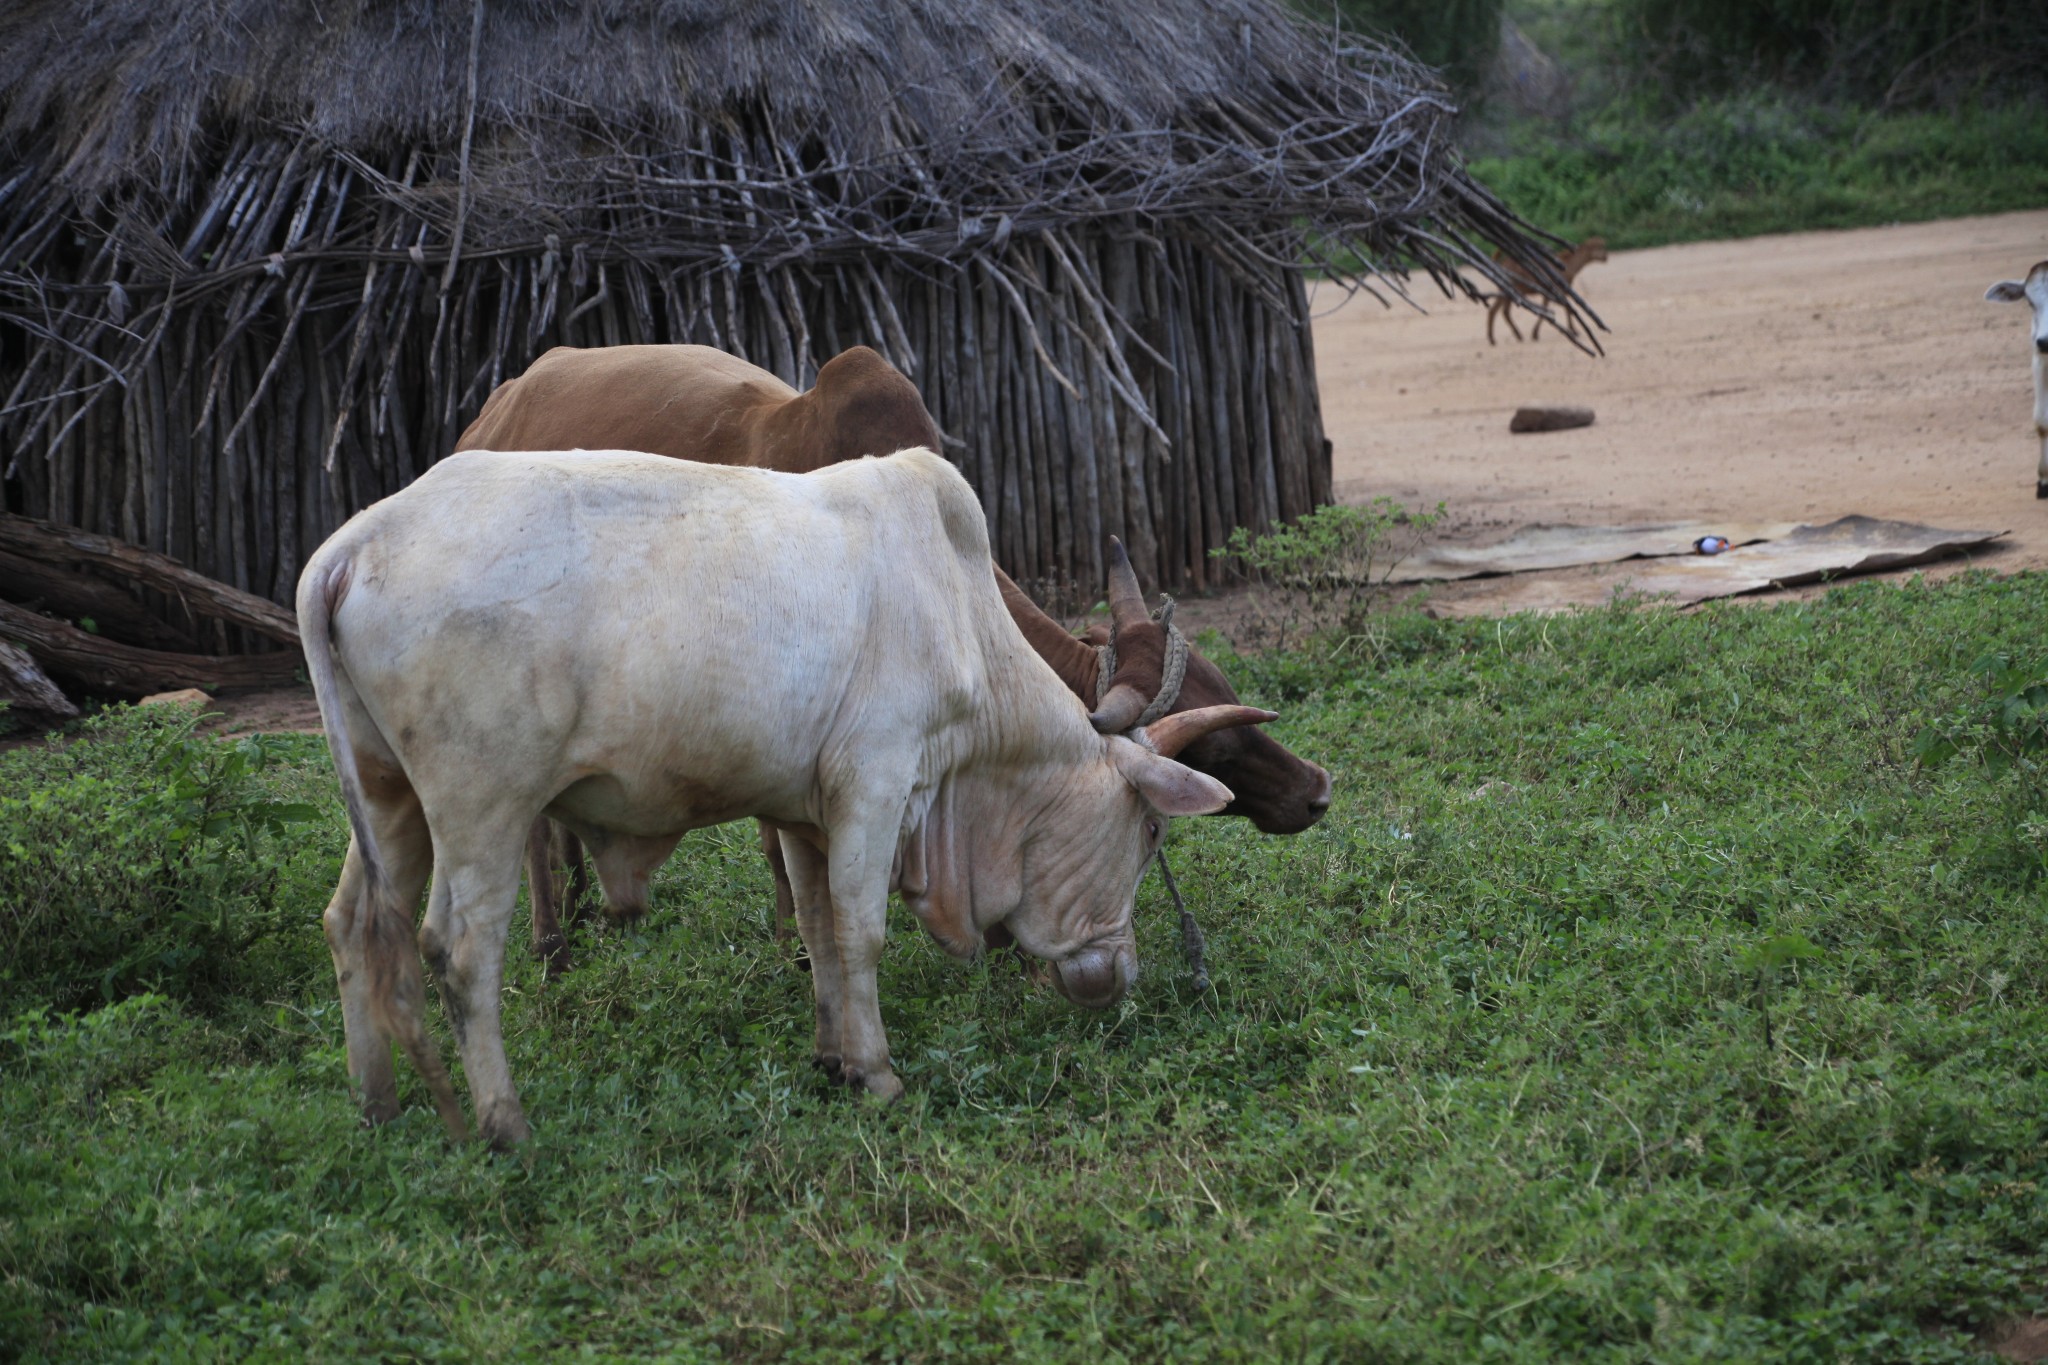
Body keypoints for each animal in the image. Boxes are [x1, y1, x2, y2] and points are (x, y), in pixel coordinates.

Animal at [456, 347, 1335, 978]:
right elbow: (788, 850)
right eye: (1216, 744)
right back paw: (550, 945)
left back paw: (586, 910)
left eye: (1227, 684)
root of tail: (491, 412)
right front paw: (804, 951)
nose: (1317, 789)